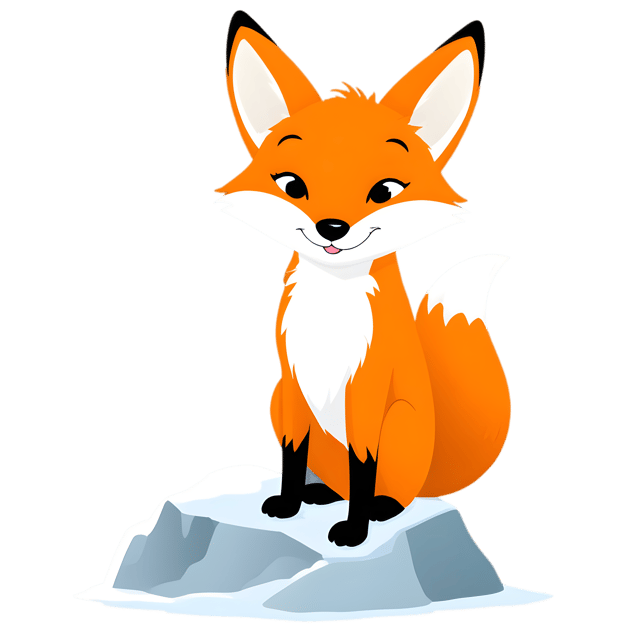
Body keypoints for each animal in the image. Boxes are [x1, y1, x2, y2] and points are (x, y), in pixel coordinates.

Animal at [214, 10, 511, 547]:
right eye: (292, 185)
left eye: (385, 191)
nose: (332, 228)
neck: (331, 308)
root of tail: (431, 474)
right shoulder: (293, 387)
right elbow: (292, 457)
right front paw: (290, 504)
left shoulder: (367, 394)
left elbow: (363, 466)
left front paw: (354, 531)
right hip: (276, 398)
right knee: (334, 478)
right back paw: (320, 494)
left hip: (399, 423)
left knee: (392, 493)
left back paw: (378, 509)